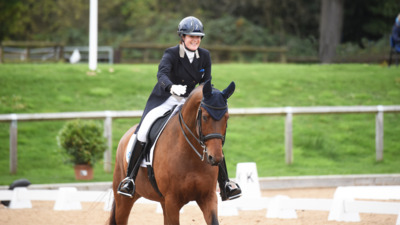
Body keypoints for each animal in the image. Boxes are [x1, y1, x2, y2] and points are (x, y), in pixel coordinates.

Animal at [108, 81, 236, 225]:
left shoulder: (208, 197)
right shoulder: (172, 201)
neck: (190, 155)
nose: (215, 158)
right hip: (124, 199)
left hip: (161, 201)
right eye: (204, 117)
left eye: (227, 118)